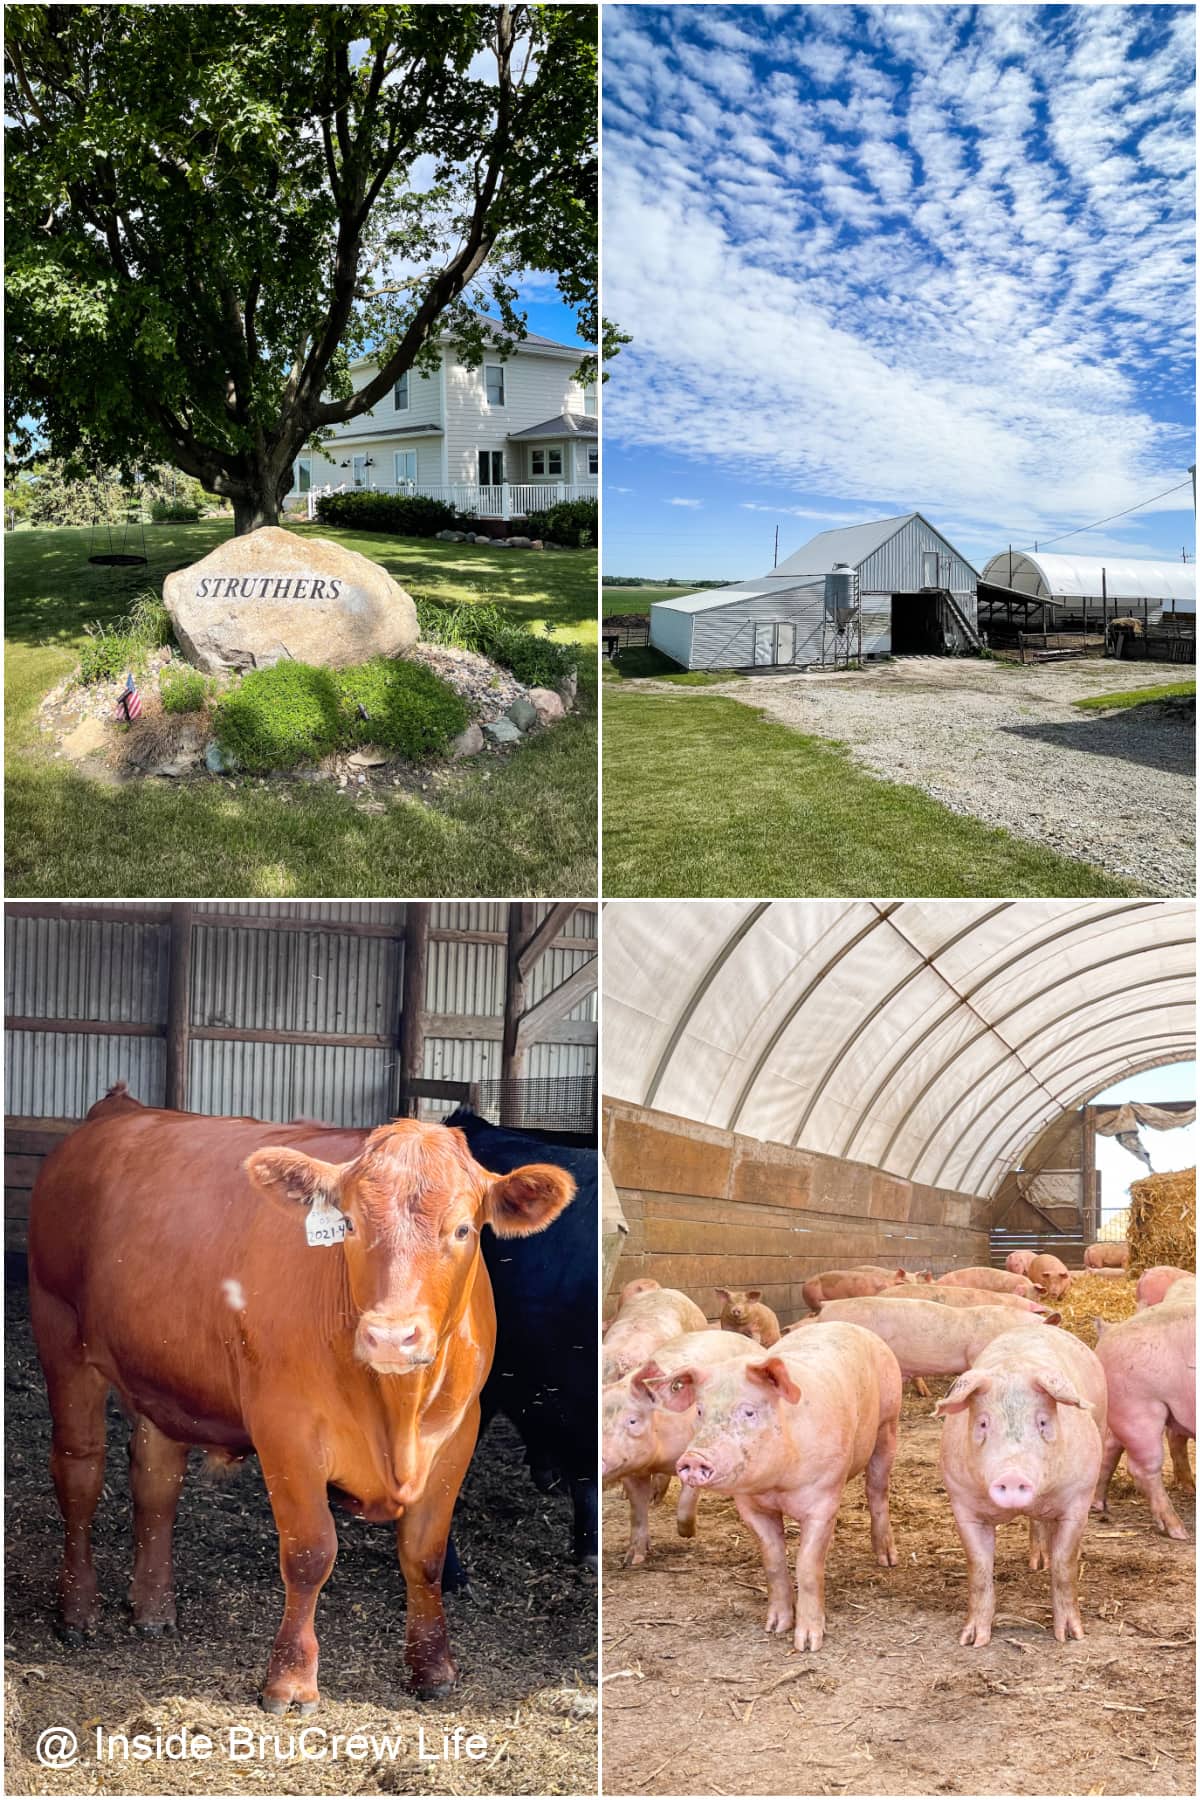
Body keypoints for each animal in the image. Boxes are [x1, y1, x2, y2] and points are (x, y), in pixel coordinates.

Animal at [26, 1087, 572, 1706]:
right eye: (349, 1224)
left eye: (462, 1230)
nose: (391, 1335)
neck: (396, 1411)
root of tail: (119, 1109)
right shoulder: (285, 1430)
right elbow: (311, 1553)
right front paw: (290, 1680)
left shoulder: (458, 1434)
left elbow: (424, 1556)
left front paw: (433, 1669)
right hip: (60, 1333)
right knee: (79, 1472)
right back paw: (77, 1611)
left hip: (163, 1371)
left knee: (156, 1479)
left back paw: (153, 1608)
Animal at [647, 1324, 899, 1648]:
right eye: (700, 1411)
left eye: (749, 1411)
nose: (692, 1459)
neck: (779, 1484)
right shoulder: (750, 1506)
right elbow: (774, 1561)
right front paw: (775, 1628)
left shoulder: (823, 1498)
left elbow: (807, 1565)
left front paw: (807, 1644)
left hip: (888, 1423)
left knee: (877, 1490)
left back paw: (887, 1560)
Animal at [935, 1332, 1108, 1648]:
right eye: (983, 1423)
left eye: (1042, 1421)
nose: (1013, 1475)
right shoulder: (961, 1502)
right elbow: (978, 1568)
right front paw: (972, 1640)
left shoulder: (1078, 1497)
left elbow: (1064, 1565)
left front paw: (1070, 1637)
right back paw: (1037, 1562)